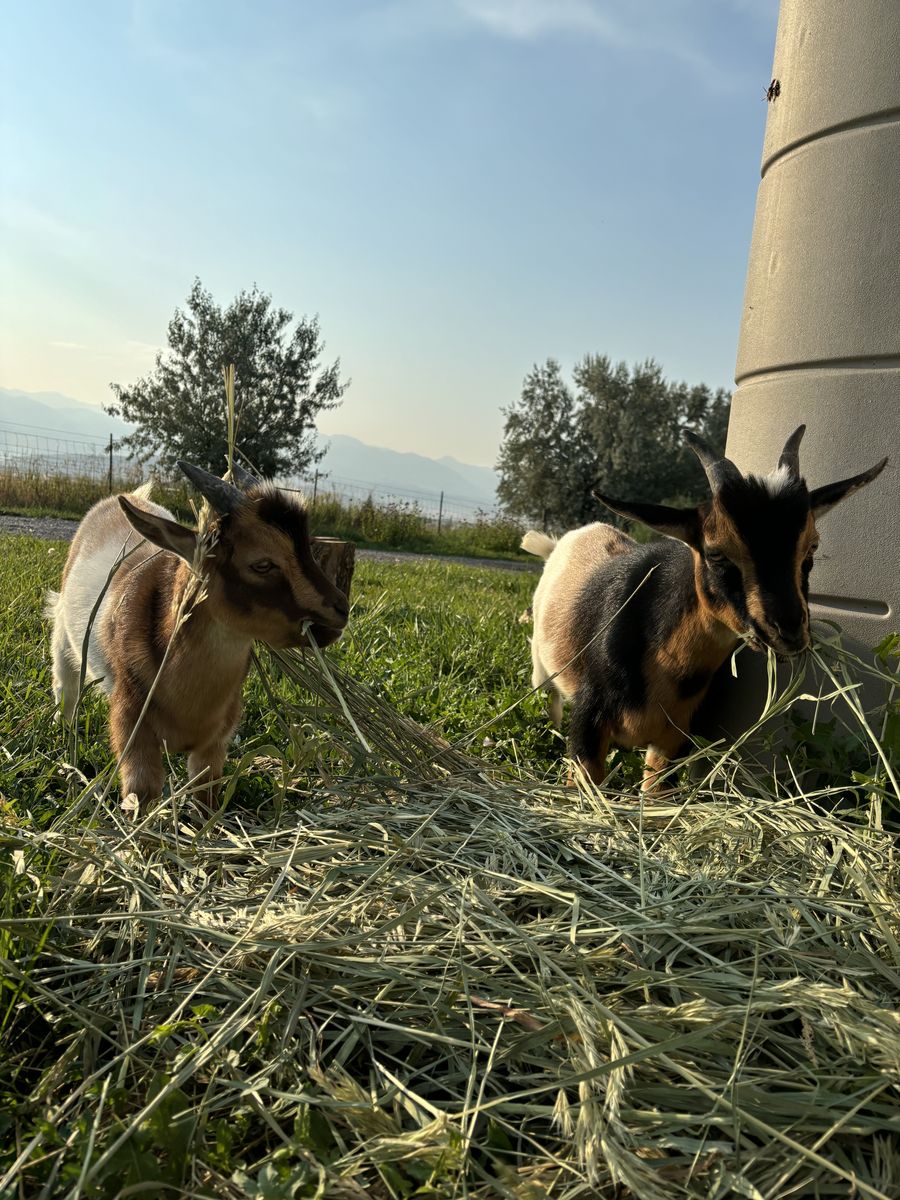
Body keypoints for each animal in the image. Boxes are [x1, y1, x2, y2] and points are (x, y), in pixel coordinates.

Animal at [47, 462, 349, 803]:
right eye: (262, 564)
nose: (341, 608)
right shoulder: (132, 727)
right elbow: (142, 793)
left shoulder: (216, 740)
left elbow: (206, 796)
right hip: (62, 635)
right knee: (66, 688)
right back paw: (64, 740)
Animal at [523, 427, 888, 790]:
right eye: (716, 553)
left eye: (811, 548)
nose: (789, 631)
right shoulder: (588, 726)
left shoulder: (674, 739)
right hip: (543, 670)